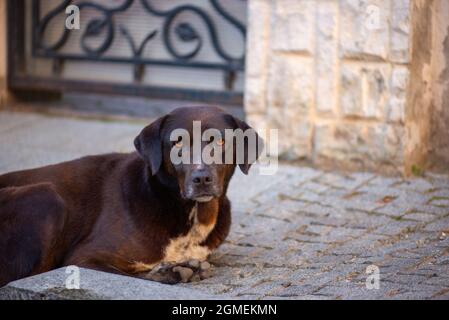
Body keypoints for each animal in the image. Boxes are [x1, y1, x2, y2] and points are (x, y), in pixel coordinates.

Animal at [0, 106, 260, 286]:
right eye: (177, 143)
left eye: (221, 140)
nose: (202, 178)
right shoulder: (83, 258)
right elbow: (129, 274)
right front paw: (173, 271)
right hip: (46, 197)